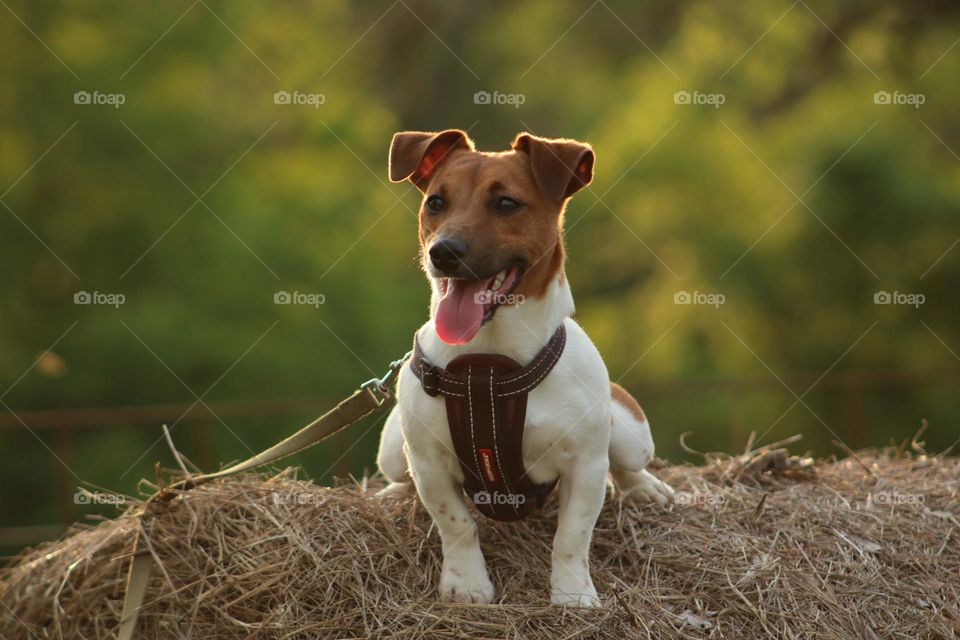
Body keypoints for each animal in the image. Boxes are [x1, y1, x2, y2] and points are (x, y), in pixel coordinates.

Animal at [376, 130, 676, 604]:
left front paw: (572, 594)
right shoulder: (428, 464)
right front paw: (467, 583)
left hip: (630, 432)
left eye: (506, 204)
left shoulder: (584, 465)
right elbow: (456, 524)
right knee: (400, 474)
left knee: (626, 463)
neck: (489, 362)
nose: (443, 252)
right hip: (392, 448)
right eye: (436, 202)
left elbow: (571, 537)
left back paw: (644, 488)